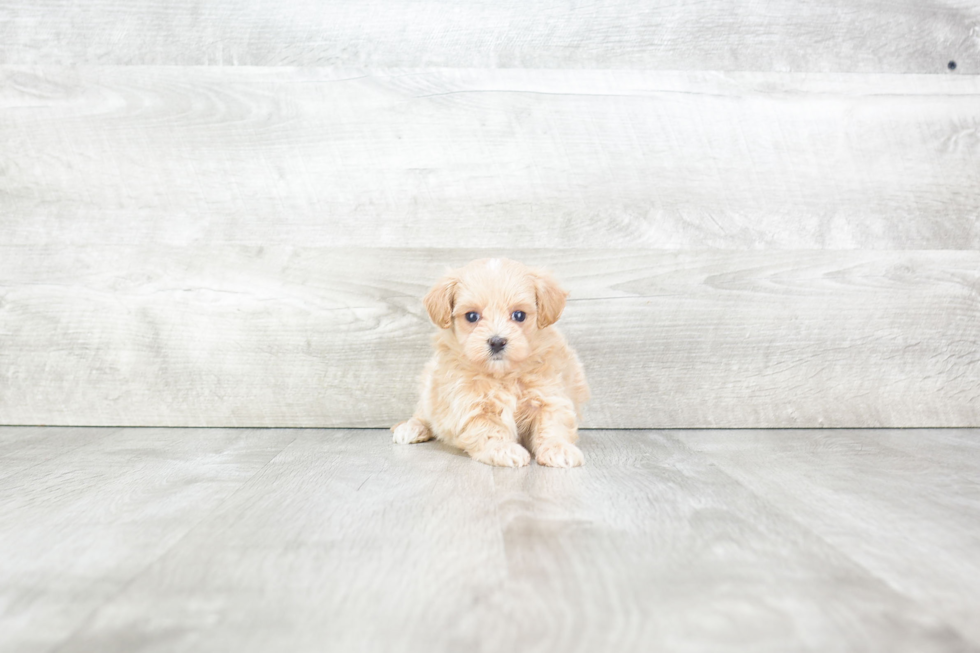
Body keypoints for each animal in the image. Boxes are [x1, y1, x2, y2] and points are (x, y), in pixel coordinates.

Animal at [390, 258, 588, 466]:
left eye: (519, 315)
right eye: (472, 316)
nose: (497, 341)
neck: (503, 375)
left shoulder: (549, 395)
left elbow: (552, 423)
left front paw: (559, 449)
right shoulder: (471, 404)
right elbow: (489, 429)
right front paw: (504, 449)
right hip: (428, 390)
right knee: (422, 414)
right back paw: (410, 428)